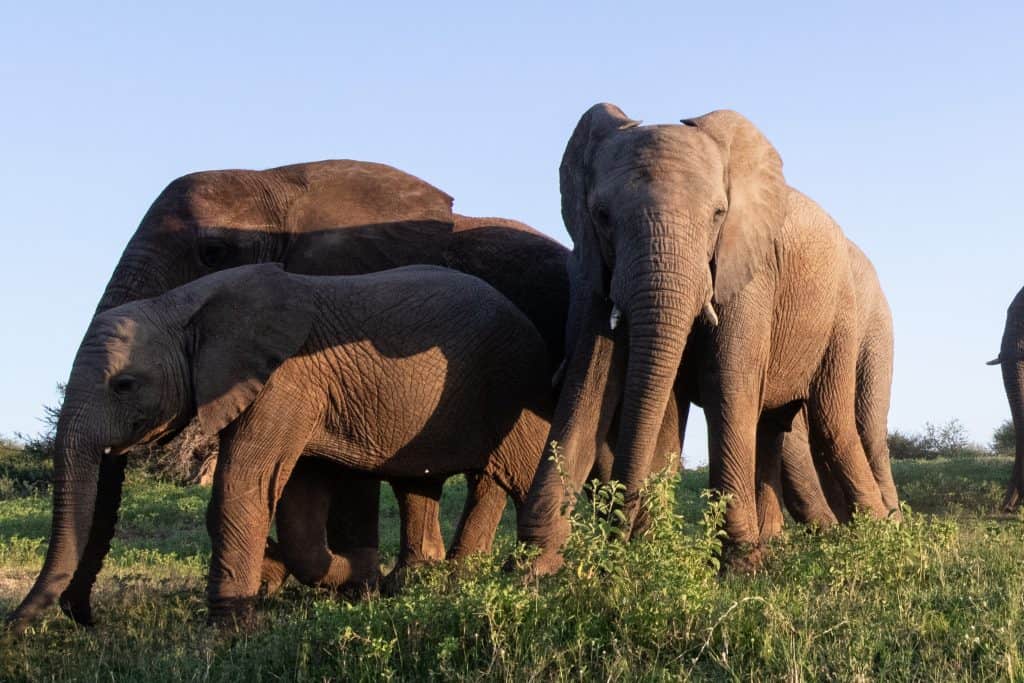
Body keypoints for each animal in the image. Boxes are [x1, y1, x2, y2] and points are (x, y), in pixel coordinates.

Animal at [8, 263, 555, 629]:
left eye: (123, 385)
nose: (14, 626)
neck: (186, 306)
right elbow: (298, 504)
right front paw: (346, 576)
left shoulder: (283, 384)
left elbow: (243, 485)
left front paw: (229, 627)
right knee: (427, 484)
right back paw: (427, 581)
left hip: (513, 381)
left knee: (517, 471)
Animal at [517, 103, 895, 574]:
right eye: (601, 215)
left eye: (718, 214)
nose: (615, 547)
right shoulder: (593, 271)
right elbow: (590, 385)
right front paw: (532, 568)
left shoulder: (749, 272)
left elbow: (726, 384)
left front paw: (741, 567)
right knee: (773, 426)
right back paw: (781, 542)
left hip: (841, 316)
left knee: (835, 425)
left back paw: (881, 537)